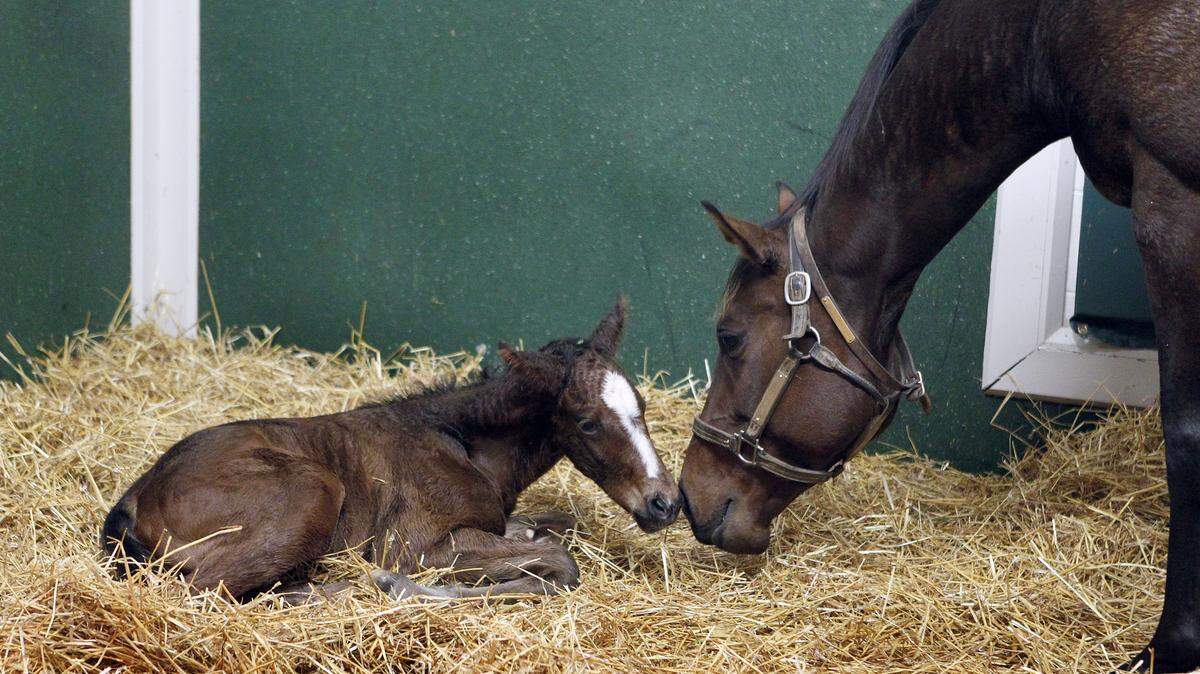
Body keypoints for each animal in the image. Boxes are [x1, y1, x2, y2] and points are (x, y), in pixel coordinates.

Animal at [102, 299, 680, 601]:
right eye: (587, 422)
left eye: (643, 405)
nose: (665, 502)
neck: (463, 446)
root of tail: (135, 497)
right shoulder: (415, 544)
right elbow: (560, 562)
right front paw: (392, 583)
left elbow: (553, 529)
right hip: (313, 489)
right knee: (202, 592)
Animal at [677, 0, 1200, 670]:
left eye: (730, 337)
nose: (689, 494)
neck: (1046, 31)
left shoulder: (1174, 205)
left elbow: (1185, 433)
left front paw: (1171, 645)